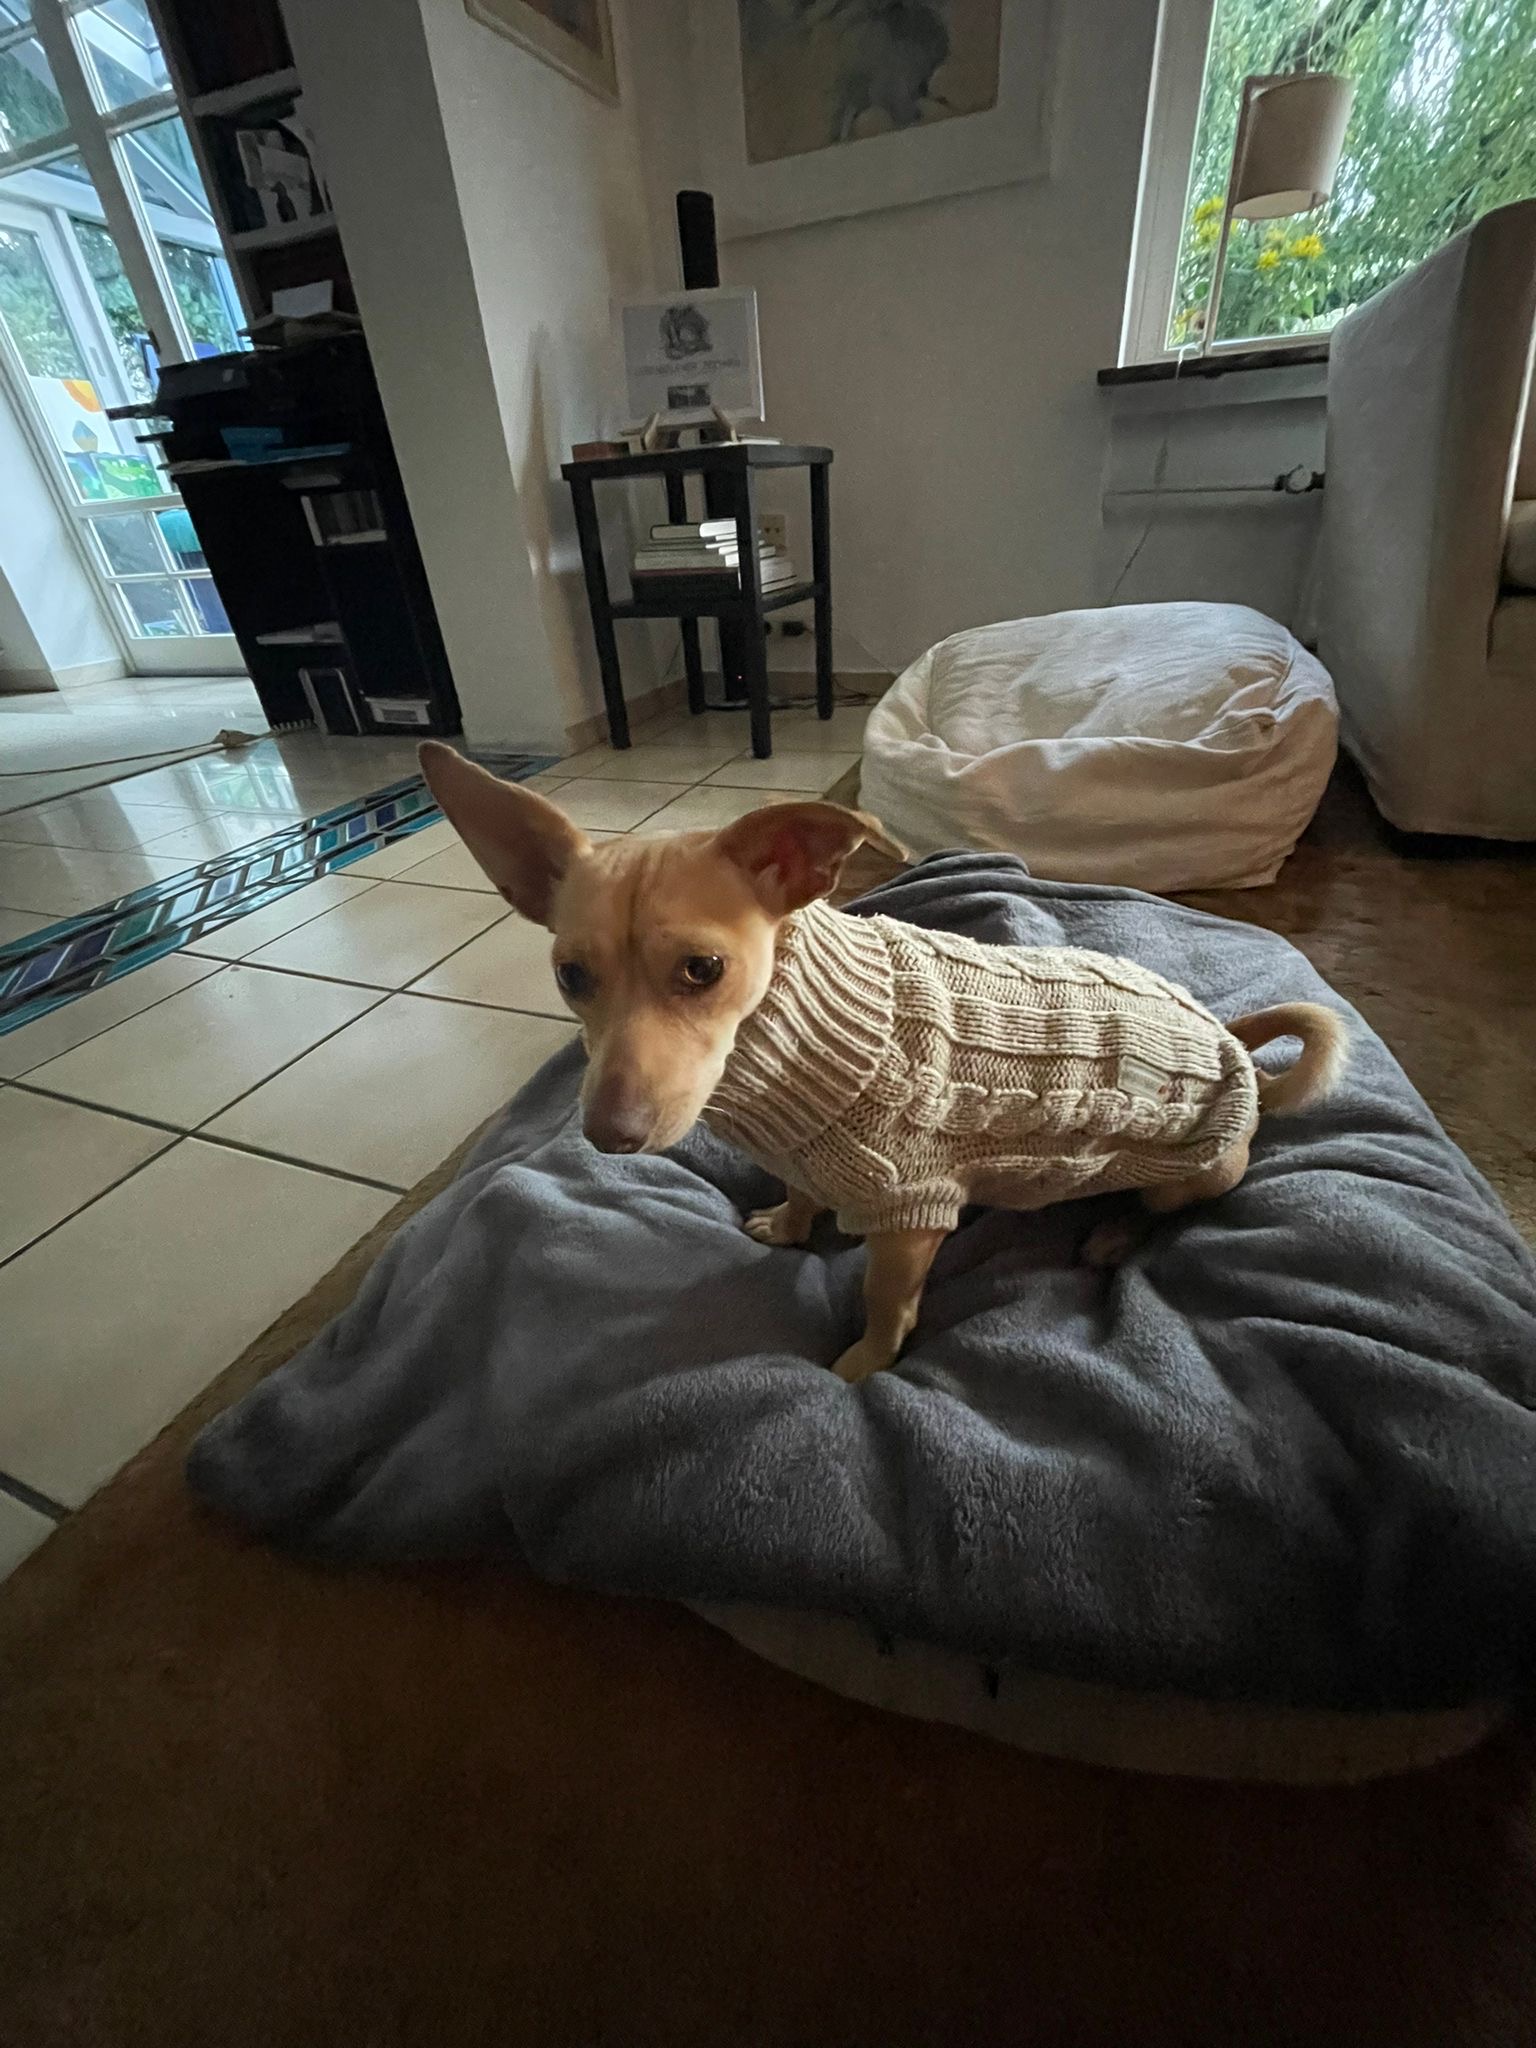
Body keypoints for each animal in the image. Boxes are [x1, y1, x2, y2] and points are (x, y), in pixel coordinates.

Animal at [420, 743, 1347, 1383]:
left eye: (704, 970)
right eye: (570, 977)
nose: (611, 1136)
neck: (788, 1047)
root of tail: (1239, 1054)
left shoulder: (913, 1216)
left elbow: (883, 1304)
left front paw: (863, 1365)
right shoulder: (805, 1155)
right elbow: (800, 1191)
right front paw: (790, 1223)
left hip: (1193, 1173)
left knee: (1168, 1212)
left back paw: (1116, 1230)